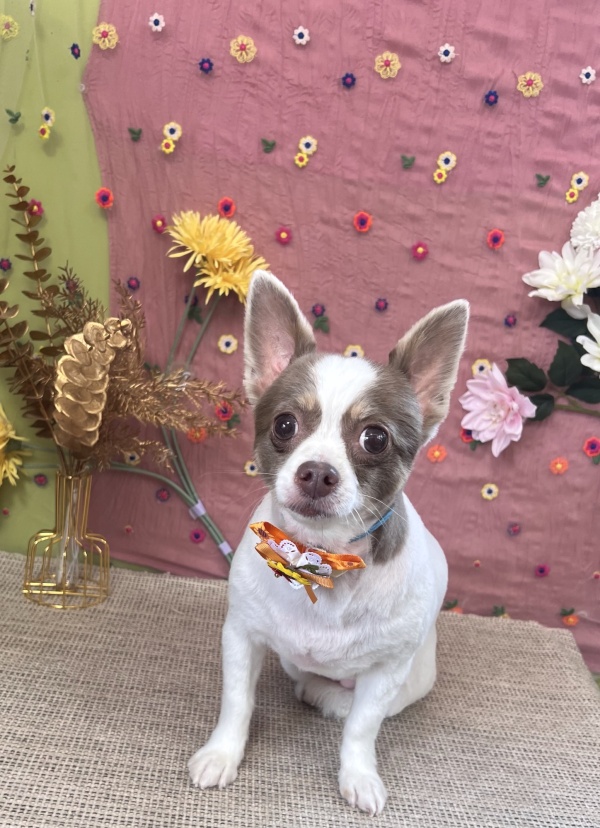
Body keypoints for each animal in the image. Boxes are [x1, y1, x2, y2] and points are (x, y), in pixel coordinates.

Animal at [188, 271, 469, 815]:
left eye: (375, 439)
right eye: (284, 425)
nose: (317, 471)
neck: (318, 557)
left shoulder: (386, 673)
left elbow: (361, 727)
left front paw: (358, 776)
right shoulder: (242, 636)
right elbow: (237, 702)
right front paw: (222, 754)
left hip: (413, 677)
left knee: (346, 705)